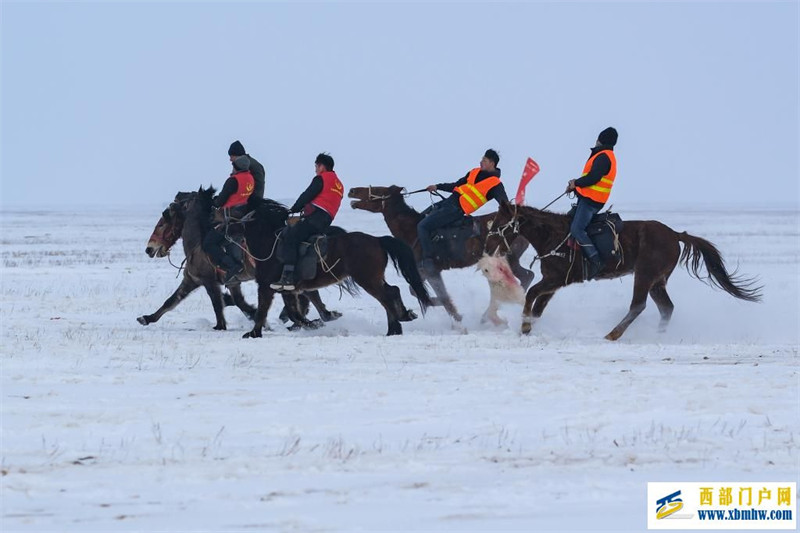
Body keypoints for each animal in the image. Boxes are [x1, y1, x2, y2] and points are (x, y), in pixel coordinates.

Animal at [139, 189, 340, 330]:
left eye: (162, 223)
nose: (149, 249)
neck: (199, 243)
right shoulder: (199, 281)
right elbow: (171, 301)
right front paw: (147, 318)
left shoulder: (209, 282)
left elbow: (217, 304)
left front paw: (221, 325)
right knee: (308, 295)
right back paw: (320, 317)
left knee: (306, 296)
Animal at [205, 187, 432, 334]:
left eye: (234, 210)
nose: (216, 228)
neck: (269, 240)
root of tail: (376, 240)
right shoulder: (287, 289)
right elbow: (295, 312)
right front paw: (314, 323)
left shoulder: (266, 285)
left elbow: (263, 309)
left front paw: (254, 333)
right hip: (372, 278)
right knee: (392, 292)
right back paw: (398, 323)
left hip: (367, 279)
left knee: (388, 295)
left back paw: (398, 323)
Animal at [348, 185, 532, 322]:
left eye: (378, 190)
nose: (352, 190)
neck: (413, 230)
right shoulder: (423, 271)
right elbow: (417, 291)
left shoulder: (431, 270)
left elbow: (441, 295)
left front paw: (457, 316)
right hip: (512, 260)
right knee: (527, 275)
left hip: (508, 259)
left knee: (524, 277)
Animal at [484, 202, 760, 338]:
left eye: (498, 222)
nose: (487, 244)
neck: (554, 235)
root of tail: (674, 234)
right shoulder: (552, 282)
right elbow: (538, 307)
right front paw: (530, 326)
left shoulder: (556, 279)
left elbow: (531, 295)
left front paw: (525, 326)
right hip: (657, 281)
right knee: (666, 307)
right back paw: (658, 335)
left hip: (645, 275)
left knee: (638, 305)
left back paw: (613, 334)